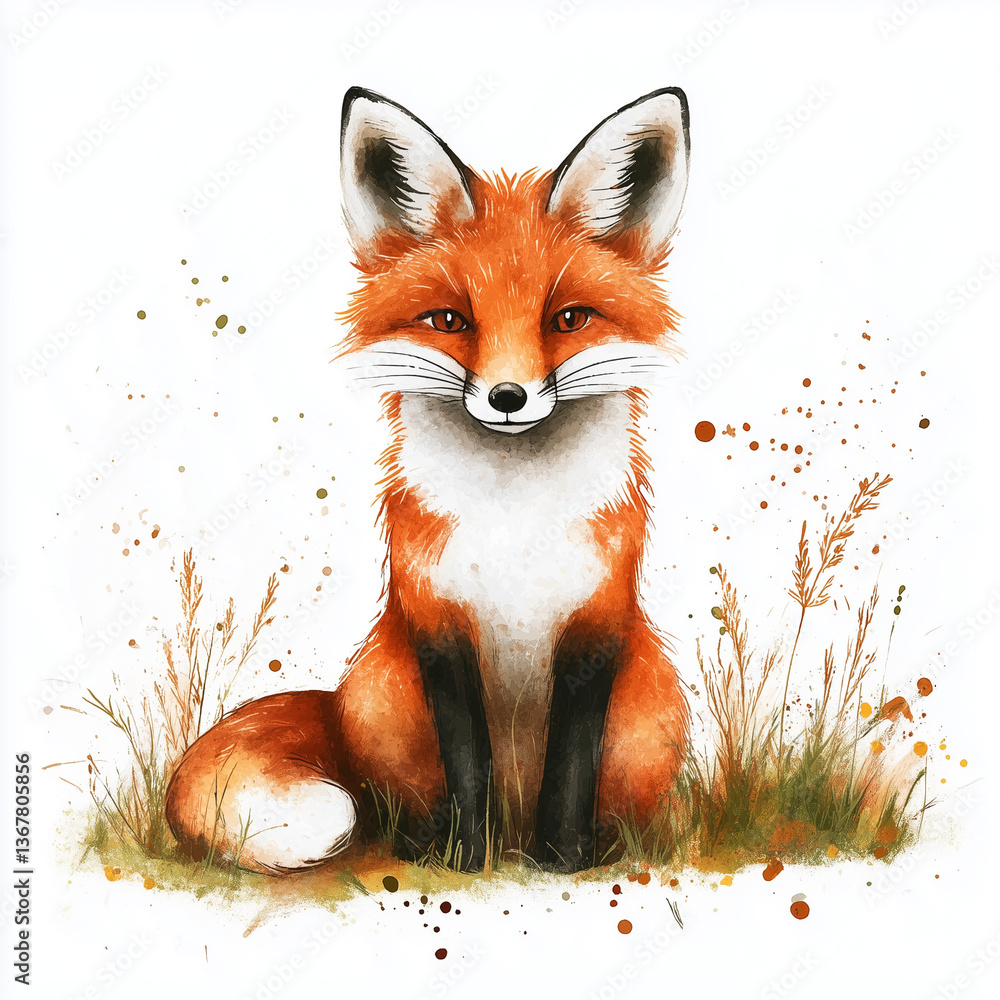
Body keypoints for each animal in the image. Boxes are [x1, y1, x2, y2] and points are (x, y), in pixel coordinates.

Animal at [165, 86, 691, 874]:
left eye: (568, 319)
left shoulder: (596, 624)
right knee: (393, 802)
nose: (508, 397)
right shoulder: (437, 621)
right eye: (449, 319)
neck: (513, 522)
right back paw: (424, 841)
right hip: (381, 692)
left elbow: (572, 763)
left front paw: (561, 859)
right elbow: (465, 759)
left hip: (655, 701)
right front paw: (465, 858)